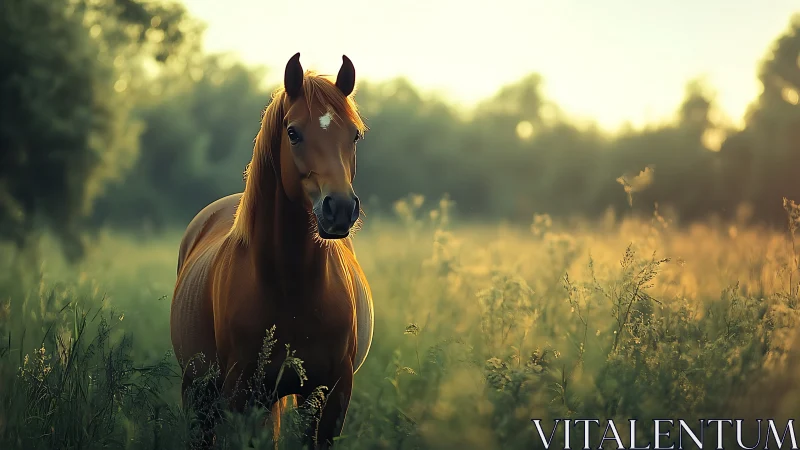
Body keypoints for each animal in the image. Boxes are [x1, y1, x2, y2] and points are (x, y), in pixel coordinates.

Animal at [170, 52, 374, 449]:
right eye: (293, 132)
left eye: (354, 134)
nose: (340, 208)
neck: (291, 287)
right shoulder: (238, 394)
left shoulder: (331, 395)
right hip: (200, 392)